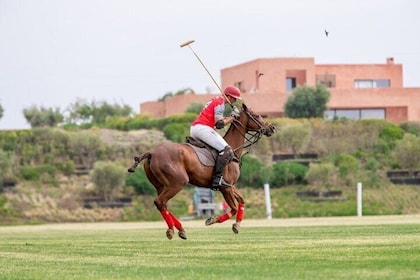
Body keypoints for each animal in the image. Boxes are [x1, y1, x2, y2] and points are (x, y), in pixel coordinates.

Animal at [127, 104, 276, 240]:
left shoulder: (228, 185)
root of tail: (151, 153)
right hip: (177, 183)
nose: (272, 128)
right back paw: (173, 230)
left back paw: (180, 229)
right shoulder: (225, 187)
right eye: (256, 115)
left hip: (161, 186)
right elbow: (233, 208)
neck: (233, 150)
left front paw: (237, 225)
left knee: (162, 204)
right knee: (159, 202)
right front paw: (212, 220)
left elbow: (241, 199)